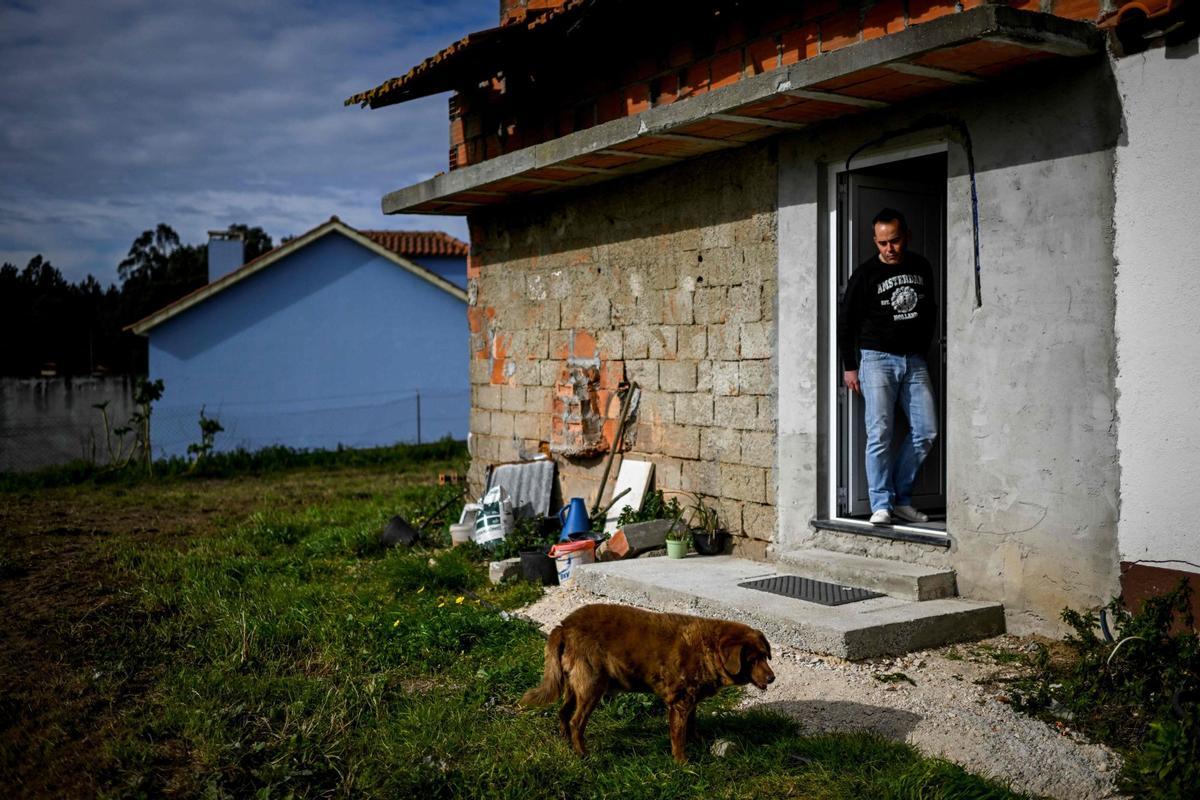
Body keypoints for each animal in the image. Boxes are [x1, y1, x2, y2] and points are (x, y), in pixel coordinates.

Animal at [520, 606, 772, 762]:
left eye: (765, 655)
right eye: (751, 660)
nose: (772, 678)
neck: (707, 649)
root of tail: (564, 626)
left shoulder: (690, 702)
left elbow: (692, 726)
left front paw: (700, 743)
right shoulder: (679, 704)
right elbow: (678, 737)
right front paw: (682, 763)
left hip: (573, 686)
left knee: (563, 713)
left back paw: (566, 743)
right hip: (592, 687)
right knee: (576, 722)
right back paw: (583, 754)